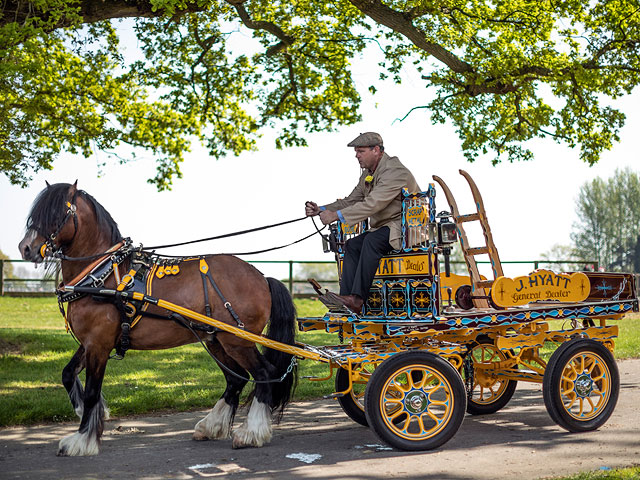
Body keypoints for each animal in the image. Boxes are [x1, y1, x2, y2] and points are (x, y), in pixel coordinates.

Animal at [18, 182, 298, 456]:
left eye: (55, 214)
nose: (26, 248)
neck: (102, 276)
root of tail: (262, 277)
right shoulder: (90, 342)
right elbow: (67, 374)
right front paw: (91, 413)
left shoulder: (98, 343)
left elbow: (92, 392)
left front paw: (81, 440)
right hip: (216, 340)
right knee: (236, 378)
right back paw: (211, 426)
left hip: (237, 340)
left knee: (263, 373)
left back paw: (251, 433)